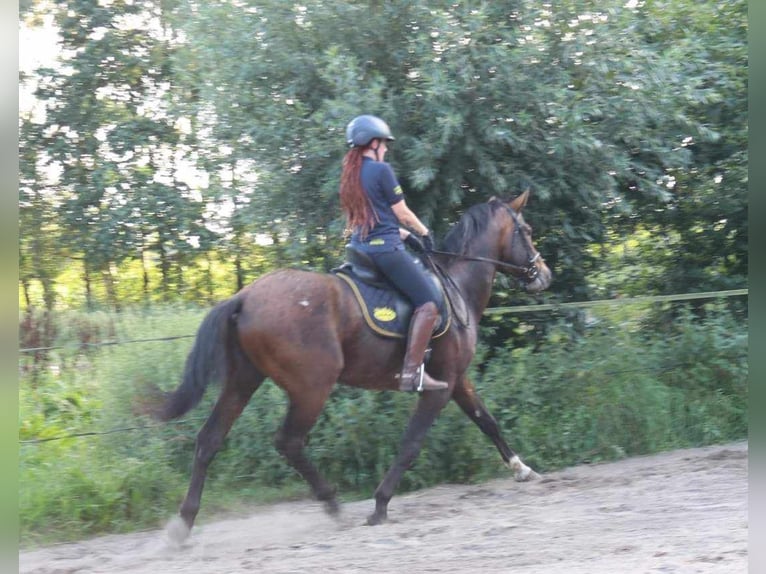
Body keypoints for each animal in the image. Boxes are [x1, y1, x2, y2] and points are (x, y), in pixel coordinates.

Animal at [156, 190, 552, 544]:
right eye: (527, 229)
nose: (544, 274)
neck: (457, 287)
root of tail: (244, 297)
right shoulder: (438, 389)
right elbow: (411, 443)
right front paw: (380, 505)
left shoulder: (455, 379)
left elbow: (487, 420)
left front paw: (522, 469)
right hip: (312, 387)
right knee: (289, 442)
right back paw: (332, 504)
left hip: (244, 380)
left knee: (209, 440)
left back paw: (183, 523)